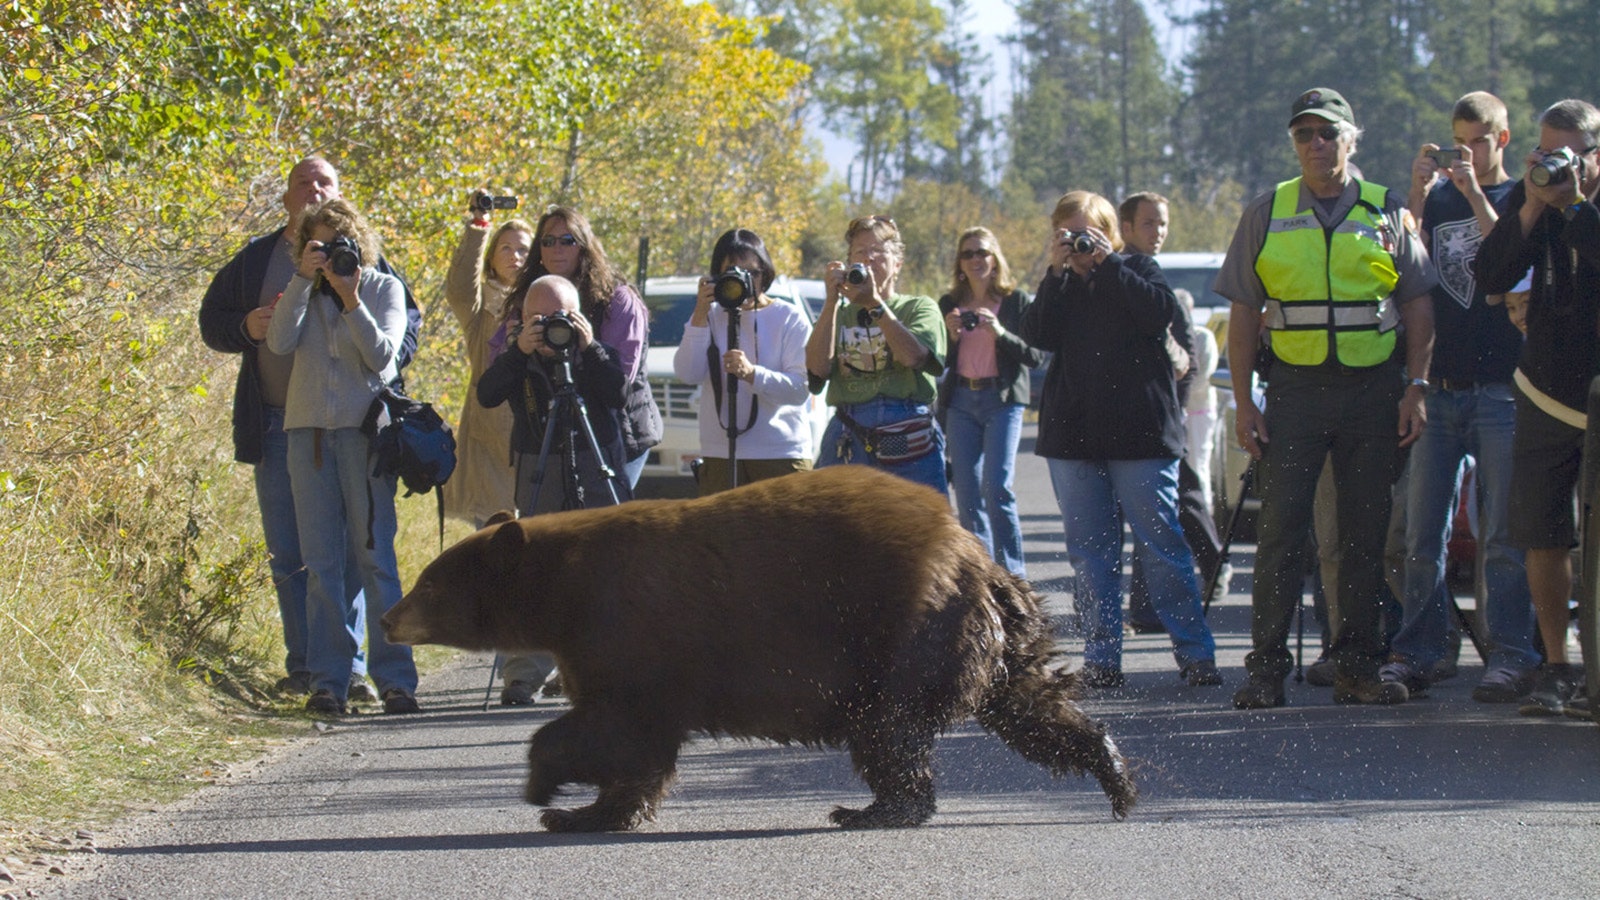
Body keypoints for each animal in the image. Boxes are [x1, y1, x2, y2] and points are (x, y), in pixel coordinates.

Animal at [382, 461, 1139, 826]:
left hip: (900, 631)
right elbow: (639, 749)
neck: (562, 590)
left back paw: (869, 810)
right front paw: (589, 813)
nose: (388, 619)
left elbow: (616, 725)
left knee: (888, 730)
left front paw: (546, 790)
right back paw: (1114, 772)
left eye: (428, 583)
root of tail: (977, 558)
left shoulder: (626, 631)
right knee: (1029, 703)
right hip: (989, 637)